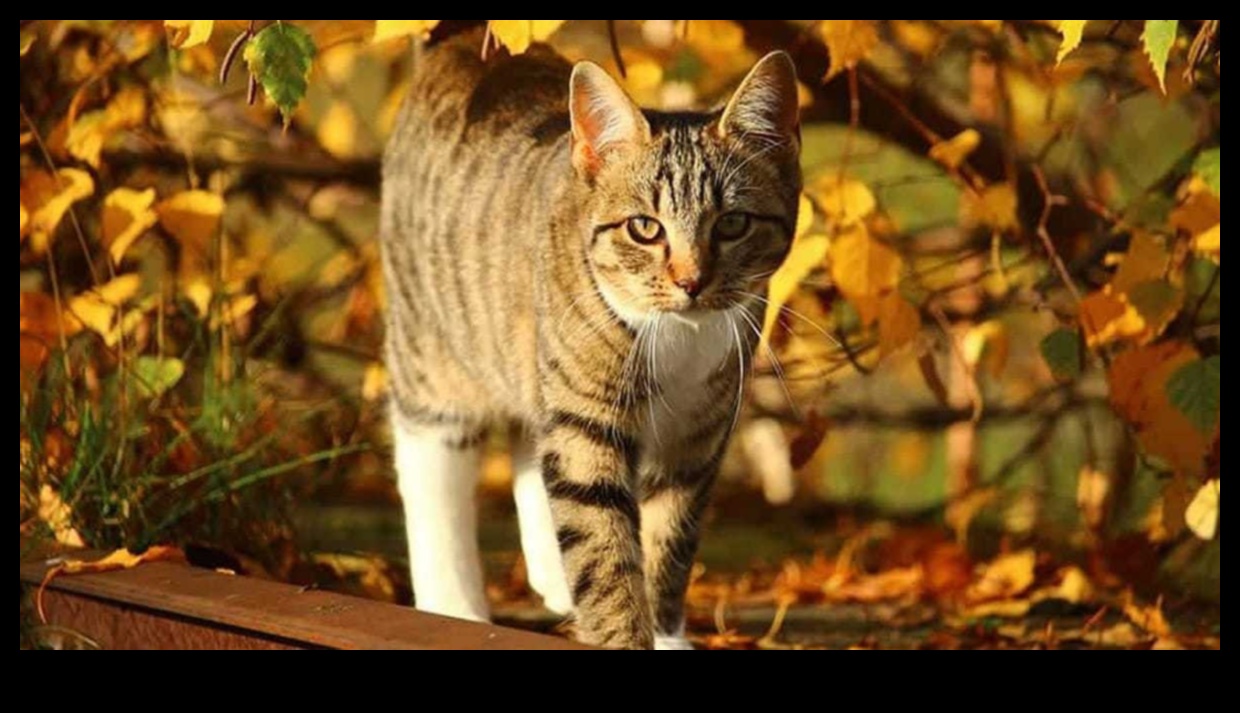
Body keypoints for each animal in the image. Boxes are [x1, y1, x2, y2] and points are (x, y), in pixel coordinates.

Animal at [379, 30, 803, 649]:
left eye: (732, 224)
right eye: (645, 228)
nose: (691, 281)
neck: (679, 337)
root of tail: (466, 42)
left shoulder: (698, 437)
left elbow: (668, 543)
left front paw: (667, 632)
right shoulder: (588, 415)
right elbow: (604, 548)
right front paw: (622, 629)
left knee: (533, 440)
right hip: (434, 348)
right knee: (431, 462)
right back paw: (454, 605)